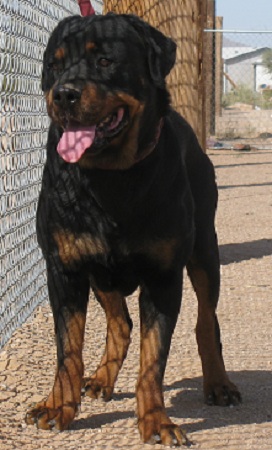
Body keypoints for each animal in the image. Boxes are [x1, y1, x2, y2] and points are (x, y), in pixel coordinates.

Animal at [25, 13, 240, 446]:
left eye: (105, 61)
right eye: (54, 65)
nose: (64, 94)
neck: (110, 179)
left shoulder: (162, 276)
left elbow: (153, 358)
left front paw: (156, 420)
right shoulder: (65, 269)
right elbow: (67, 349)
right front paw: (58, 406)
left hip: (205, 251)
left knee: (206, 321)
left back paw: (218, 383)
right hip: (100, 272)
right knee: (120, 323)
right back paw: (102, 379)